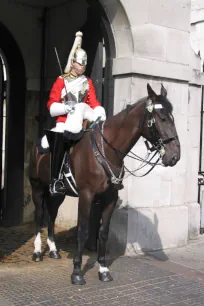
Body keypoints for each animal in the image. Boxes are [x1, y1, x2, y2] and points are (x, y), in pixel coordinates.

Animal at [28, 83, 180, 284]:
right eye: (162, 118)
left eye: (172, 117)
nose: (175, 156)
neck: (107, 150)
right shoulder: (86, 195)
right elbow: (83, 231)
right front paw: (77, 272)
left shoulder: (110, 197)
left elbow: (103, 232)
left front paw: (103, 269)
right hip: (37, 187)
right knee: (39, 216)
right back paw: (37, 251)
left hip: (57, 194)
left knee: (51, 216)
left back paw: (53, 250)